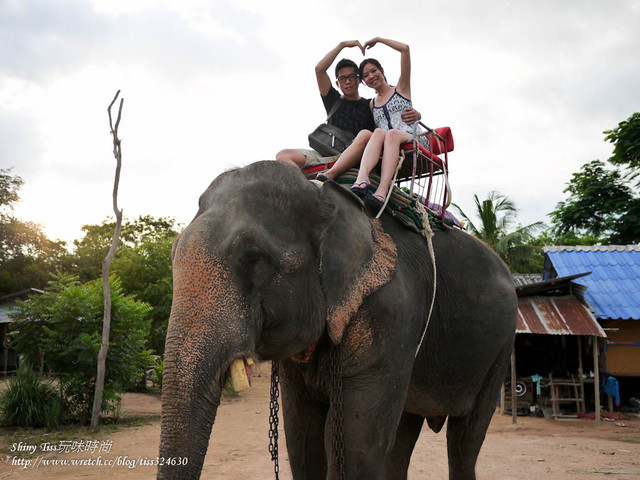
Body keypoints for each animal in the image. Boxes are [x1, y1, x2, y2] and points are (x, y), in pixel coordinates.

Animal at [158, 161, 516, 480]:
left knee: (464, 439)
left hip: (501, 350)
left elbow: (355, 446)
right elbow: (303, 439)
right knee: (405, 430)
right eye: (172, 253)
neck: (325, 197)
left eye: (255, 258)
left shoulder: (390, 312)